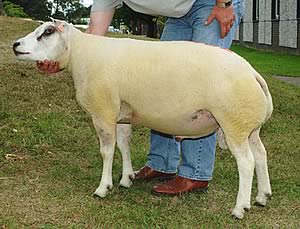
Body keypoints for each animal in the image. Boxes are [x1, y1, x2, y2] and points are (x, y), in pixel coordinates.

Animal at [12, 19, 274, 218]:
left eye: (47, 32)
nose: (15, 45)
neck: (80, 55)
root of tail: (252, 72)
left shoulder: (103, 112)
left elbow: (107, 151)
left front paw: (102, 188)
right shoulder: (122, 114)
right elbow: (123, 144)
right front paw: (127, 178)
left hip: (234, 124)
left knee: (247, 162)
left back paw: (240, 208)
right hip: (249, 127)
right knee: (261, 155)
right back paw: (262, 196)